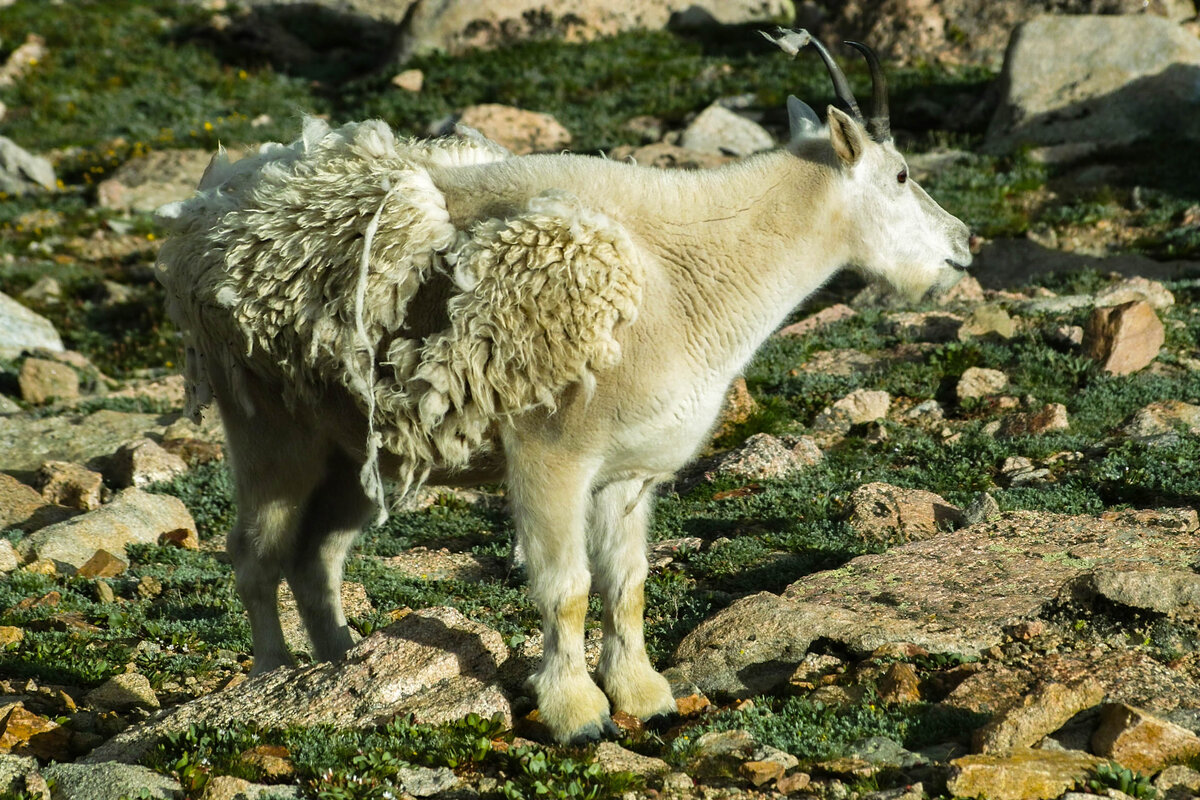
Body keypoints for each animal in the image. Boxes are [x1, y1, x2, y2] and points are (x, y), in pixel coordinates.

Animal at [155, 29, 973, 744]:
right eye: (902, 175)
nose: (964, 244)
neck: (688, 276)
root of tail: (208, 213)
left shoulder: (628, 473)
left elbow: (627, 581)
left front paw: (644, 695)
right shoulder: (551, 454)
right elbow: (566, 586)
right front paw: (577, 712)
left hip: (357, 448)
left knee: (317, 554)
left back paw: (339, 667)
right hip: (268, 423)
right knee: (257, 553)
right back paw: (274, 677)